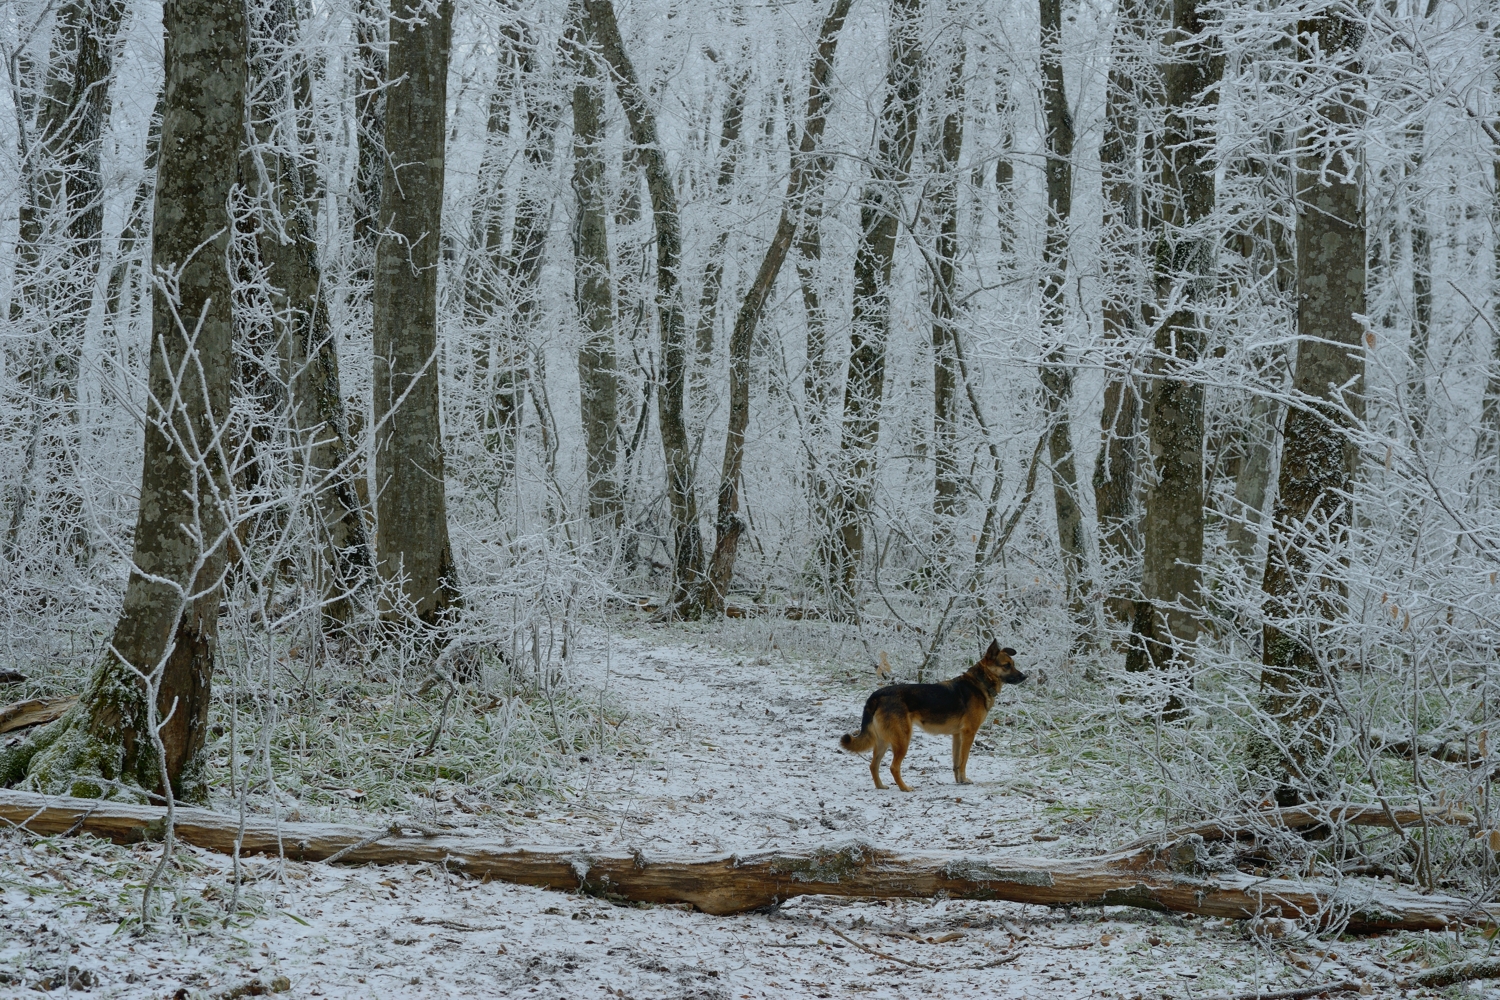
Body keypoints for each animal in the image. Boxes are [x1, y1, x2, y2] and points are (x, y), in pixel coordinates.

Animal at [840, 644, 1026, 791]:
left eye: (1013, 664)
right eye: (1007, 665)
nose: (1025, 676)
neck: (980, 682)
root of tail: (877, 695)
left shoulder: (957, 736)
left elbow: (956, 762)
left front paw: (959, 781)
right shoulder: (969, 733)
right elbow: (964, 760)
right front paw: (964, 780)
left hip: (883, 740)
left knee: (873, 765)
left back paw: (880, 786)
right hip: (902, 739)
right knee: (893, 767)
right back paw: (904, 788)